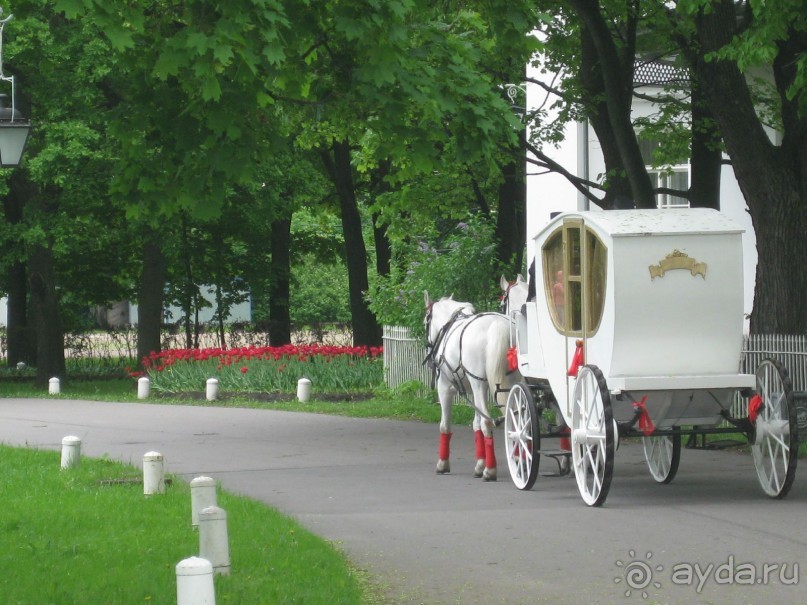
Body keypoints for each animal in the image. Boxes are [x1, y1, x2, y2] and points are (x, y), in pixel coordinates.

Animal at [422, 292, 516, 482]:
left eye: (425, 323)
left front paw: (443, 464)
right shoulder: (475, 391)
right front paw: (479, 465)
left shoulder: (445, 388)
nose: (428, 353)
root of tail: (498, 325)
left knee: (488, 421)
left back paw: (491, 471)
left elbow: (445, 425)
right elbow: (476, 425)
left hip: (478, 382)